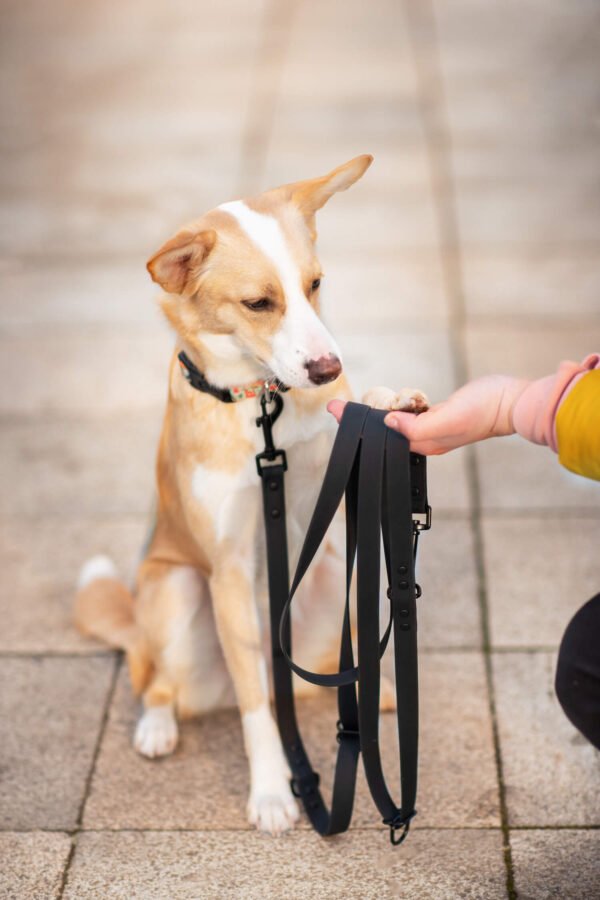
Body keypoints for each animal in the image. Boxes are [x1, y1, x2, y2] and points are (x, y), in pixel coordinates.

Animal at [75, 156, 426, 836]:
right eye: (259, 303)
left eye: (316, 284)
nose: (327, 368)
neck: (260, 403)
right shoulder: (229, 568)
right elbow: (256, 712)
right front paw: (271, 791)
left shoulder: (330, 496)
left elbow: (359, 419)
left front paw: (390, 400)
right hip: (177, 589)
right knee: (162, 682)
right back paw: (157, 726)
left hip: (332, 583)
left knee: (321, 678)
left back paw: (381, 697)